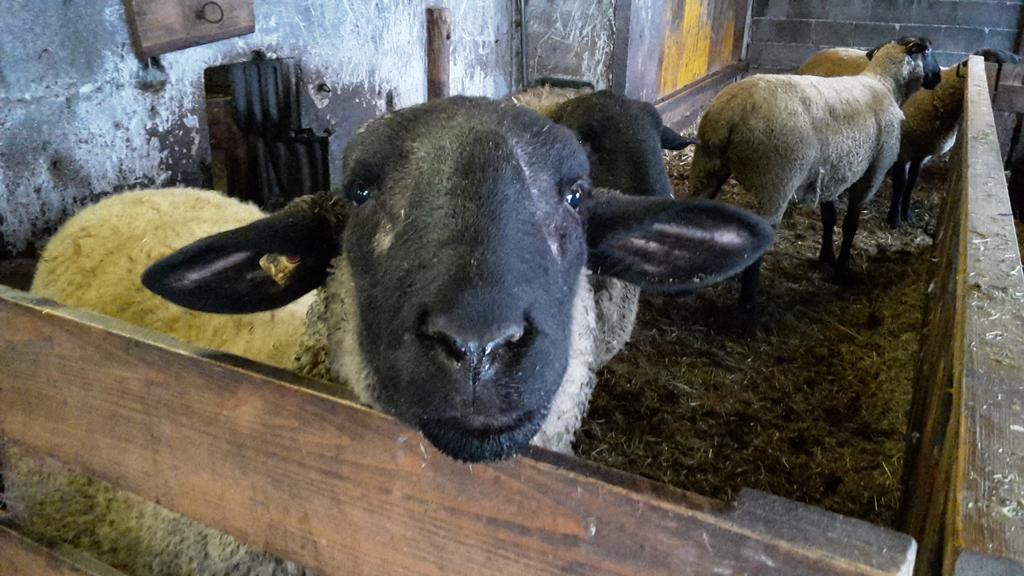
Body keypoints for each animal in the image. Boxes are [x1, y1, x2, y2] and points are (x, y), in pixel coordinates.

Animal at [688, 35, 937, 309]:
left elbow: (829, 218)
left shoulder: (832, 175)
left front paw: (826, 257)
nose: (938, 77)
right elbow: (851, 224)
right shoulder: (872, 173)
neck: (883, 84)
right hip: (777, 179)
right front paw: (841, 270)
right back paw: (748, 305)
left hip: (707, 165)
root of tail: (731, 112)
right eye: (928, 51)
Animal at [798, 45, 1024, 227]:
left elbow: (912, 182)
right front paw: (894, 218)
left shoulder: (922, 153)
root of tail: (822, 52)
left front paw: (907, 214)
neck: (940, 95)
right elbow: (900, 184)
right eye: (996, 64)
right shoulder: (903, 149)